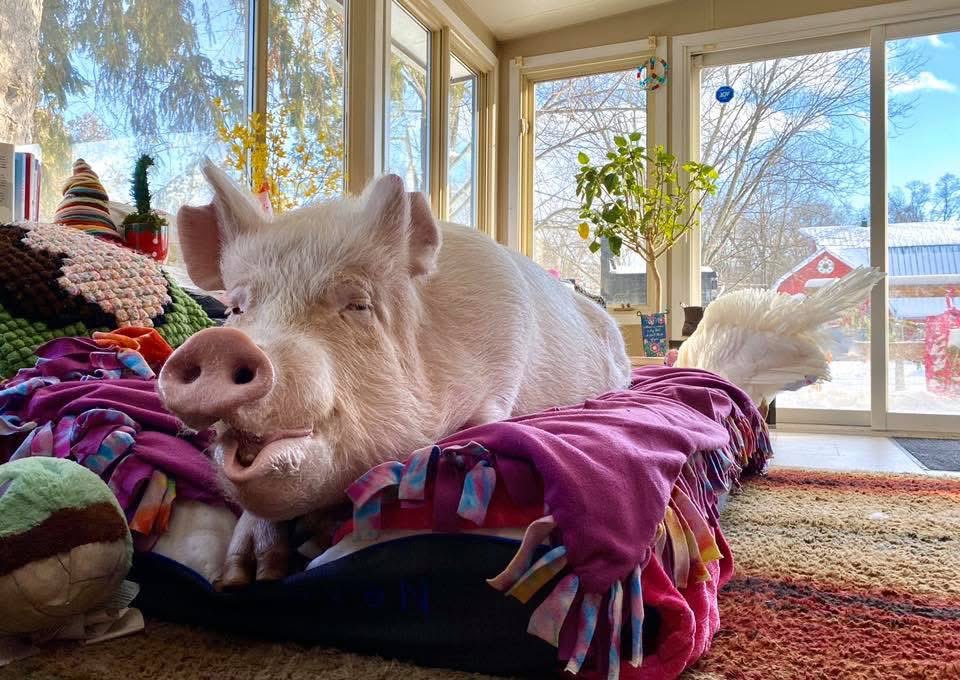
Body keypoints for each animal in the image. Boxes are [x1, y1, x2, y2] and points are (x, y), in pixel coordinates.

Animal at [158, 163, 631, 585]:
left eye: (358, 305)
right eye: (237, 309)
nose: (219, 344)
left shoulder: (502, 382)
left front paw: (311, 545)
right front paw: (247, 578)